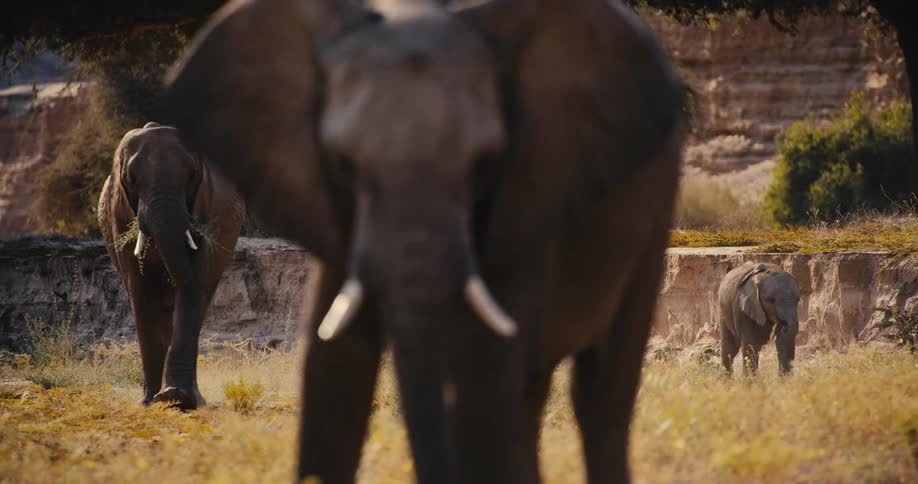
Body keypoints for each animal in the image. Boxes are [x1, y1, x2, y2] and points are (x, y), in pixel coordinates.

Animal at [97, 122, 244, 409]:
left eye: (193, 176)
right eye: (131, 178)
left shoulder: (205, 205)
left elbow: (194, 284)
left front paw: (177, 397)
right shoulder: (119, 216)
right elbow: (141, 290)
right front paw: (151, 402)